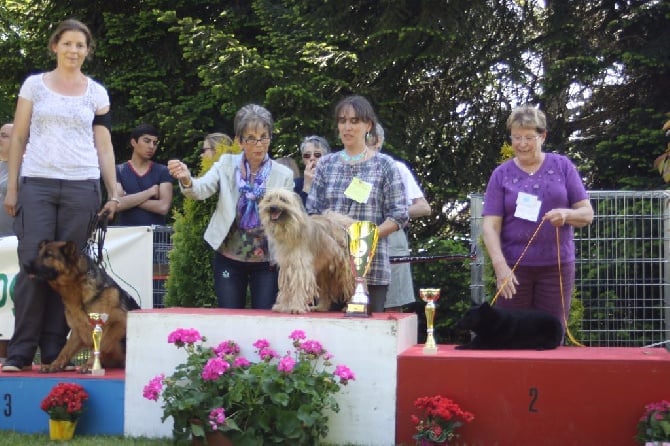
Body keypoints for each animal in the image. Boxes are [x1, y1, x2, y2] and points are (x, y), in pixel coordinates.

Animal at [26, 240, 140, 372]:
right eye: (39, 254)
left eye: (48, 255)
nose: (24, 264)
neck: (78, 288)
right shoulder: (77, 331)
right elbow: (65, 351)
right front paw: (54, 364)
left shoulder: (119, 323)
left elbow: (101, 345)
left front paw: (90, 365)